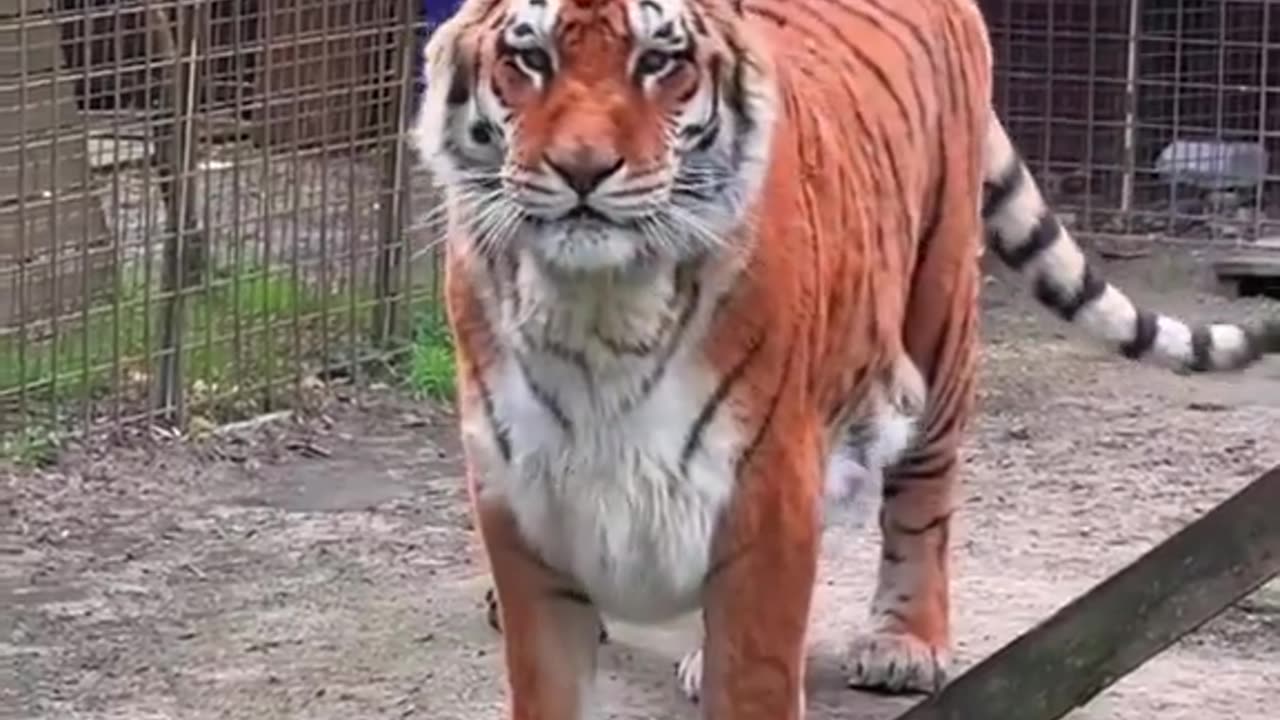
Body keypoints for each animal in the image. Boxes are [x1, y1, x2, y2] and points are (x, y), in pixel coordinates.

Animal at [415, 0, 1280, 717]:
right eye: (530, 58)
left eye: (659, 61)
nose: (583, 170)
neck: (598, 312)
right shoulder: (523, 493)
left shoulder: (766, 483)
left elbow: (757, 671)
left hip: (939, 314)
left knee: (924, 496)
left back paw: (905, 645)